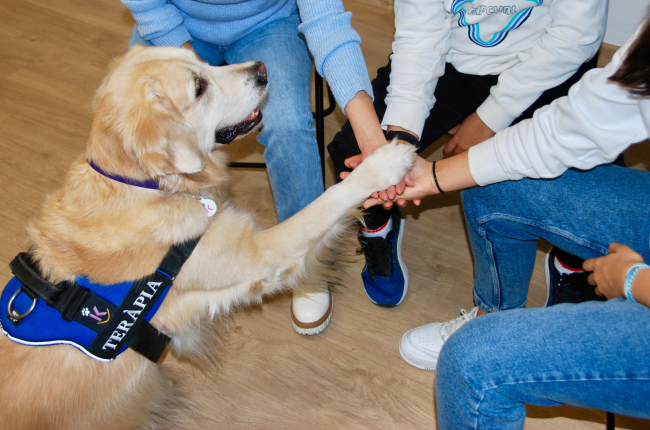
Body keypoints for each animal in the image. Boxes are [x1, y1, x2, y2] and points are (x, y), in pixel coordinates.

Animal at [0, 44, 416, 430]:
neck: (145, 185)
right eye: (198, 87)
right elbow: (326, 202)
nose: (262, 69)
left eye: (199, 59)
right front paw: (382, 164)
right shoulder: (258, 255)